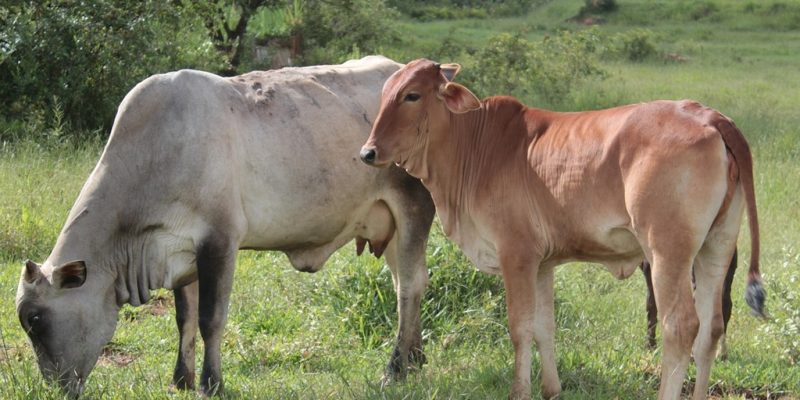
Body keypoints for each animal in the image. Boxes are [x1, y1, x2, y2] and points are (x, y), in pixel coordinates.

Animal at [16, 56, 436, 397]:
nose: (55, 388)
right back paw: (416, 359)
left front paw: (211, 383)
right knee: (404, 284)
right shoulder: (180, 252)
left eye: (35, 320)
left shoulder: (219, 242)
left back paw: (396, 369)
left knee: (410, 286)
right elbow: (183, 319)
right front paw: (181, 379)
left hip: (414, 208)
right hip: (389, 225)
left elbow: (210, 319)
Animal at [359, 59, 765, 400]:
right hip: (717, 246)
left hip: (668, 252)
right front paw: (550, 389)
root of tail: (708, 116)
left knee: (679, 327)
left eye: (412, 95)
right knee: (711, 328)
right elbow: (544, 327)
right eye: (385, 93)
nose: (368, 152)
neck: (474, 145)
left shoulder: (516, 255)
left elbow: (520, 328)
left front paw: (519, 391)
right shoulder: (543, 263)